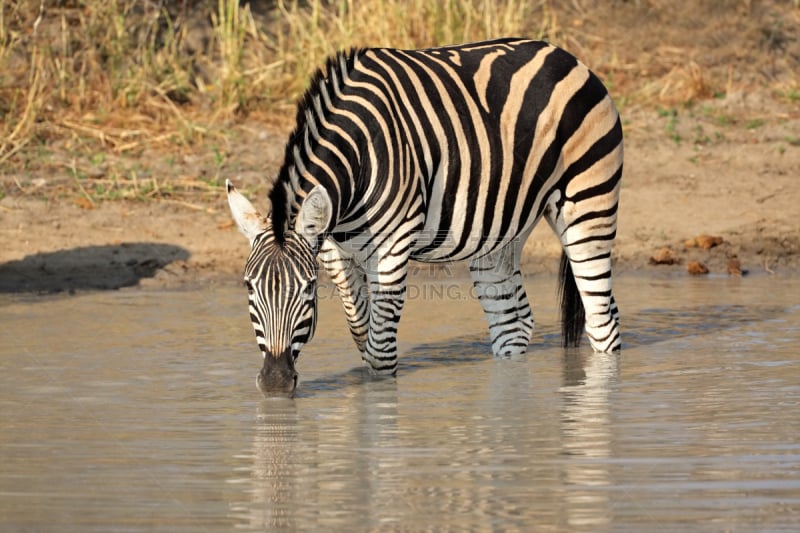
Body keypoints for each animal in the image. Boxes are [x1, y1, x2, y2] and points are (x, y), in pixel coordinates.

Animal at [228, 37, 620, 392]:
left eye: (309, 288)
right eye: (248, 286)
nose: (276, 382)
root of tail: (565, 55)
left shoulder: (392, 245)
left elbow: (380, 354)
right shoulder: (332, 252)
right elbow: (361, 333)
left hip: (589, 205)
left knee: (603, 320)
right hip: (500, 233)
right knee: (513, 324)